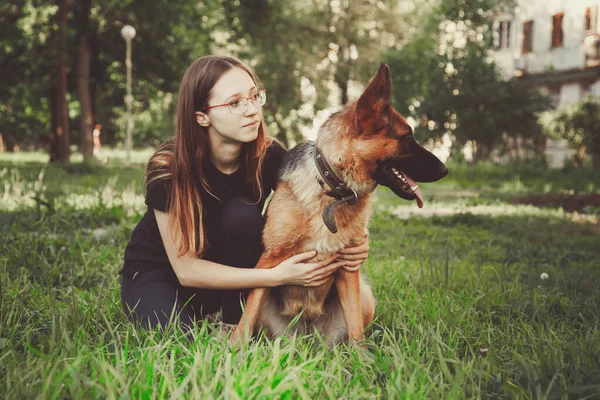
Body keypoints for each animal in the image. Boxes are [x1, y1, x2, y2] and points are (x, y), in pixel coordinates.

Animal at [232, 64, 448, 346]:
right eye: (407, 137)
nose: (445, 169)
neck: (334, 191)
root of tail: (307, 337)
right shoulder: (269, 261)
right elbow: (246, 317)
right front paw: (233, 348)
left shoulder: (349, 268)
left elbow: (356, 328)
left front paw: (360, 357)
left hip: (364, 294)